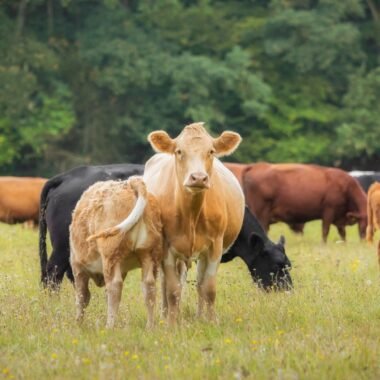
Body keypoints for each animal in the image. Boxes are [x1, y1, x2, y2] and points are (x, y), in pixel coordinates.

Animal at [70, 177, 162, 328]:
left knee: (114, 286)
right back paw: (150, 326)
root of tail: (130, 182)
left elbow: (82, 297)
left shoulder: (77, 267)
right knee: (149, 286)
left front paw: (78, 323)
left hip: (111, 254)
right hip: (149, 253)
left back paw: (110, 326)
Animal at [144, 123, 245, 326]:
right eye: (179, 151)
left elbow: (209, 288)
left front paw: (212, 321)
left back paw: (200, 316)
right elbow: (173, 290)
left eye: (211, 151)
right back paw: (166, 314)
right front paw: (172, 324)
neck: (190, 214)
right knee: (166, 284)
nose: (198, 178)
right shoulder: (167, 247)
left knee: (199, 283)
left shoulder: (215, 245)